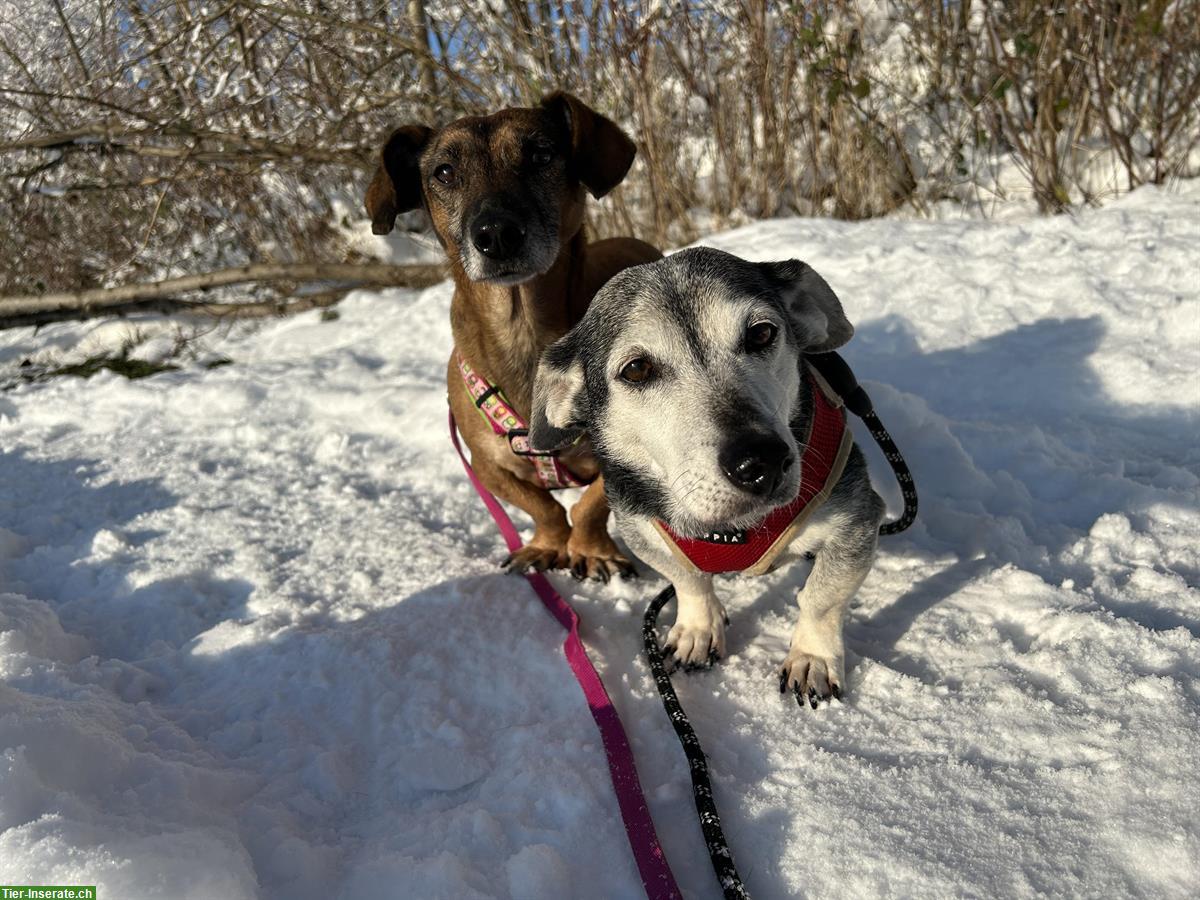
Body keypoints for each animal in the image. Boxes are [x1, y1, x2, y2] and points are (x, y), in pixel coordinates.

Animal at [367, 95, 662, 580]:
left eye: (540, 154)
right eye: (444, 172)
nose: (496, 234)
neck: (523, 328)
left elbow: (589, 505)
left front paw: (592, 550)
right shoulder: (487, 466)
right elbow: (544, 507)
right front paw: (548, 545)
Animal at [530, 250, 888, 710]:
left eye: (761, 333)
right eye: (637, 369)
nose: (761, 461)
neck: (732, 529)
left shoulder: (855, 520)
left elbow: (822, 598)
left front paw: (812, 657)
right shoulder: (641, 529)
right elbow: (688, 579)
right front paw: (698, 628)